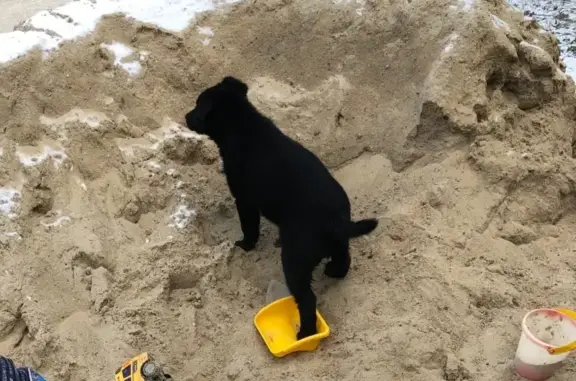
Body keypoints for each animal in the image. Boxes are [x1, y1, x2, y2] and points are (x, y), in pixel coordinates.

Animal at [184, 75, 380, 336]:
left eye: (198, 105)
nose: (186, 116)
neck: (243, 125)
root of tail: (334, 221)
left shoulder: (244, 199)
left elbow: (249, 226)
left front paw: (245, 245)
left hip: (294, 260)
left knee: (307, 299)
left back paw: (306, 333)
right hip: (338, 242)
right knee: (343, 259)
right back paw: (333, 272)